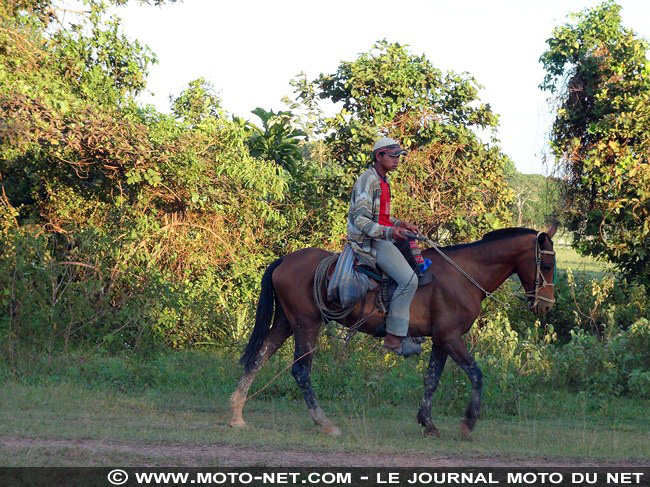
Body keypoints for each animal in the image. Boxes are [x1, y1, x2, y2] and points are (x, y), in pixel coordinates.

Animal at [229, 225, 556, 438]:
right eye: (548, 265)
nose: (546, 306)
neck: (464, 276)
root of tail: (285, 260)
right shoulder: (451, 337)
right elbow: (476, 374)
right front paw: (468, 422)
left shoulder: (441, 340)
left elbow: (431, 380)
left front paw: (427, 423)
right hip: (306, 324)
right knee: (301, 370)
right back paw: (324, 422)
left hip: (287, 322)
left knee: (258, 358)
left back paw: (237, 414)